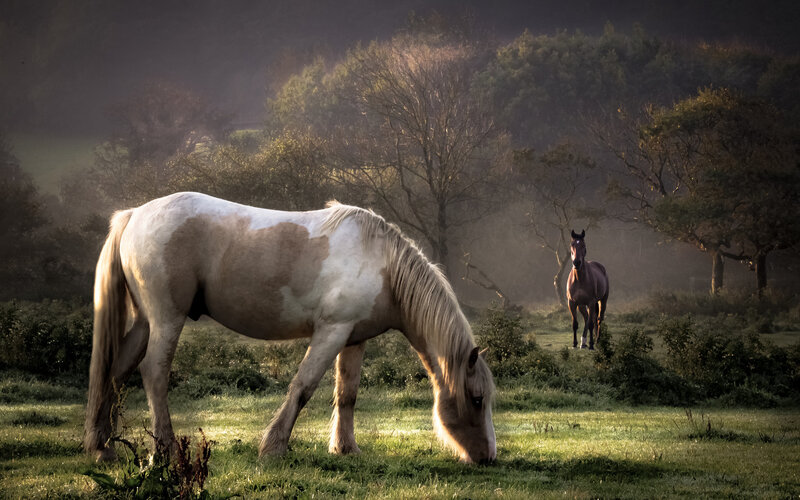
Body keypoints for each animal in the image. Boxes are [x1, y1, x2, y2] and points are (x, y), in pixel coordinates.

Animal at [84, 192, 496, 464]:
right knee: (153, 373)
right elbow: (303, 387)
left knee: (116, 371)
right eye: (476, 399)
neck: (383, 265)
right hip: (167, 319)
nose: (488, 457)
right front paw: (274, 448)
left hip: (145, 322)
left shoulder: (354, 339)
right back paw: (164, 451)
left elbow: (347, 395)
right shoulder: (331, 332)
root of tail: (134, 215)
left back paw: (102, 446)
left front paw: (346, 449)